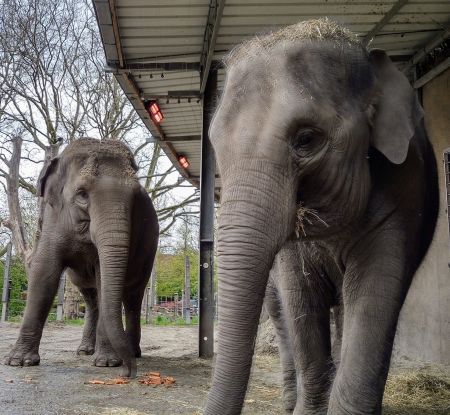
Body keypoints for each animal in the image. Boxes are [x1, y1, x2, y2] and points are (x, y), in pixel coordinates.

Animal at [3, 138, 157, 378]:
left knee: (133, 296)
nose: (128, 372)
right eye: (82, 194)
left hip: (149, 250)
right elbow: (44, 273)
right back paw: (86, 350)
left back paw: (133, 351)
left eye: (135, 197)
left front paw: (107, 363)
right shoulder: (53, 219)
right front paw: (19, 361)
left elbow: (104, 278)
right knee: (91, 298)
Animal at [205, 17, 440, 414]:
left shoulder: (405, 191)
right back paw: (289, 400)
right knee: (283, 315)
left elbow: (374, 296)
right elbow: (300, 299)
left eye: (306, 139)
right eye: (215, 146)